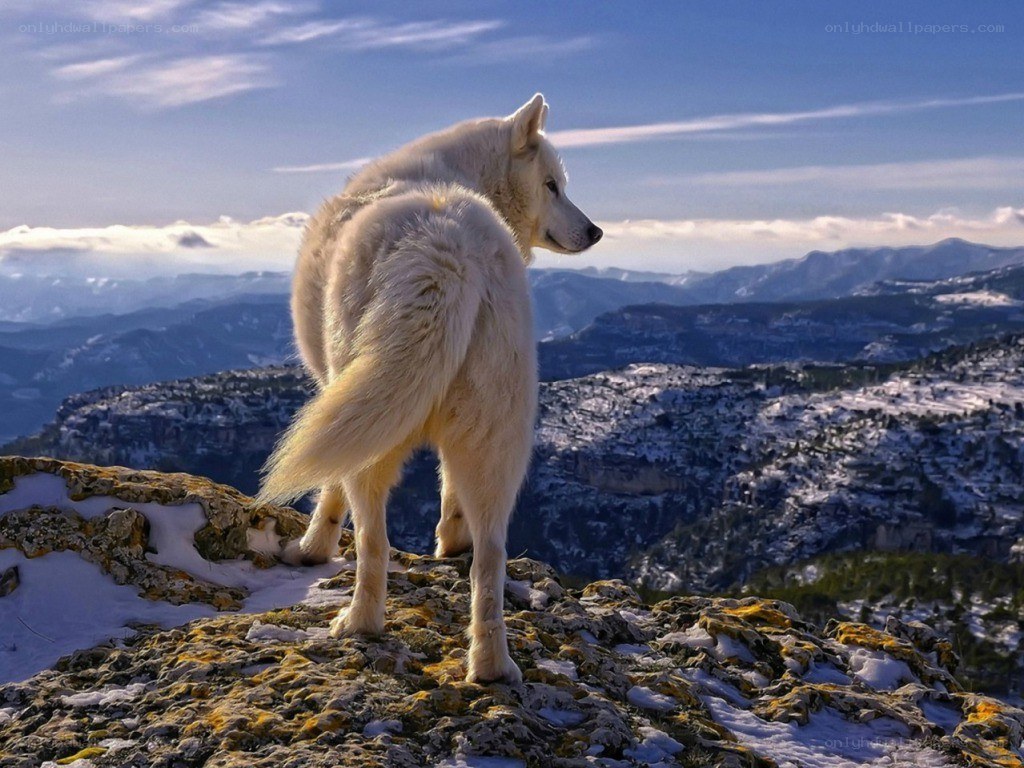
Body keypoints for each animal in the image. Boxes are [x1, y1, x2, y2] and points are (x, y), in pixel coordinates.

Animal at [258, 94, 601, 683]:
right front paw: (450, 541)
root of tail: (448, 250)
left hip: (374, 427)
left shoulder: (338, 393)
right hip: (496, 437)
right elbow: (448, 492)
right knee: (491, 556)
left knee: (374, 540)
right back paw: (490, 665)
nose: (596, 231)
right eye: (553, 185)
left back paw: (358, 623)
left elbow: (328, 492)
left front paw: (311, 548)